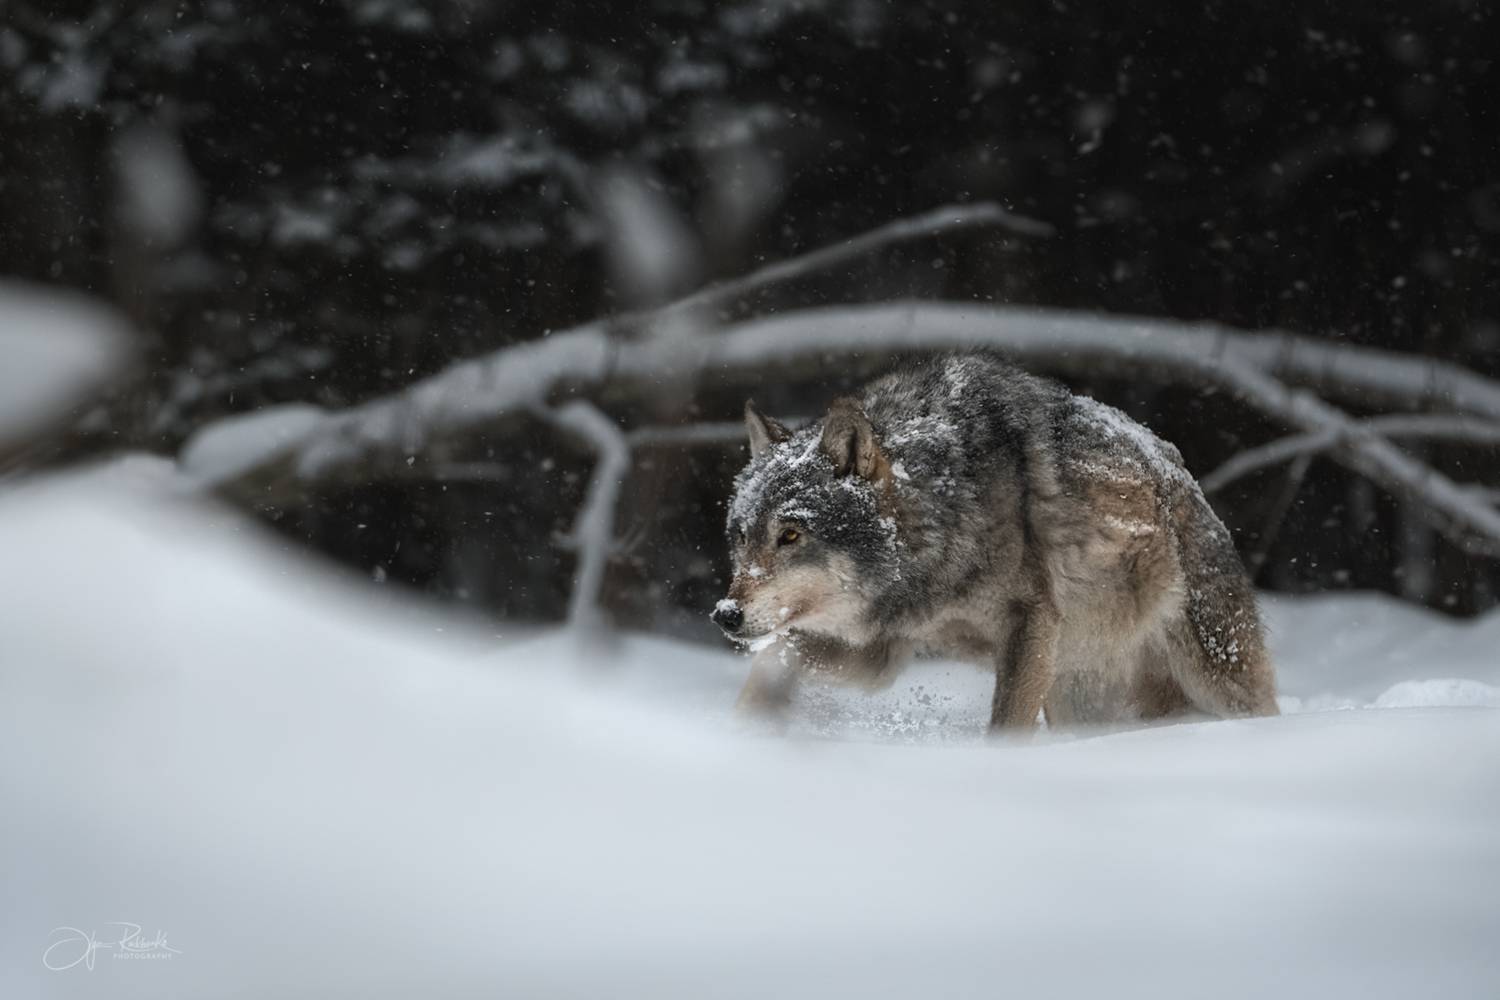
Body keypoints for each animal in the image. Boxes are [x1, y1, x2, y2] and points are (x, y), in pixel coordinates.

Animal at [711, 353, 1278, 730]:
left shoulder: (1028, 624)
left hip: (1214, 676)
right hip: (1079, 687)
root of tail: (1184, 478)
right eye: (741, 536)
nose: (725, 614)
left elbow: (1006, 728)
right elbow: (776, 655)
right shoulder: (881, 652)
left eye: (790, 535)